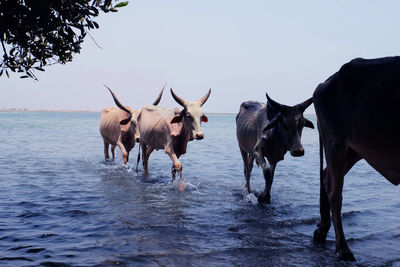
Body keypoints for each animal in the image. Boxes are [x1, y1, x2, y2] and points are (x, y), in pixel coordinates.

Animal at [312, 57, 400, 262]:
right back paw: (343, 248)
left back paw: (322, 230)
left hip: (353, 150)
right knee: (335, 192)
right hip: (335, 142)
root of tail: (324, 83)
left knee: (326, 176)